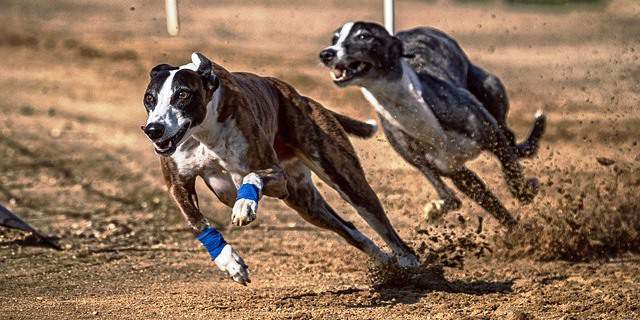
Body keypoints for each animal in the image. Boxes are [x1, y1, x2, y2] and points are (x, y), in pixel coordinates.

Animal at [141, 52, 420, 284]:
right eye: (149, 99)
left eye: (182, 94)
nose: (153, 129)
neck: (202, 132)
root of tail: (301, 97)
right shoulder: (178, 185)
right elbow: (198, 221)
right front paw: (230, 263)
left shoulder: (276, 175)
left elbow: (251, 176)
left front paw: (244, 206)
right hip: (305, 203)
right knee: (349, 229)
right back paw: (385, 262)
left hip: (342, 178)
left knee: (377, 219)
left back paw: (408, 260)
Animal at [320, 21, 544, 228]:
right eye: (334, 39)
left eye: (364, 36)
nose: (326, 54)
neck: (410, 107)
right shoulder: (453, 171)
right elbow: (485, 204)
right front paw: (518, 235)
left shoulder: (492, 137)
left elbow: (512, 173)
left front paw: (525, 192)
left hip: (491, 91)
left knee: (511, 139)